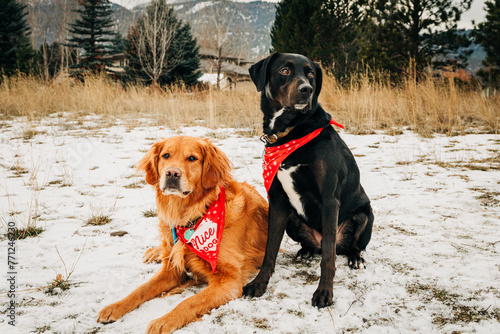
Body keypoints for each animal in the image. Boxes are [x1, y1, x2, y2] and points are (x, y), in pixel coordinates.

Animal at [240, 52, 374, 308]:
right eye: (284, 71)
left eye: (311, 74)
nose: (307, 90)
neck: (291, 130)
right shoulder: (277, 200)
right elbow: (270, 250)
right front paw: (259, 284)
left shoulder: (330, 200)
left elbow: (329, 258)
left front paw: (324, 293)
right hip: (292, 219)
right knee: (315, 247)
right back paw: (306, 251)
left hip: (365, 215)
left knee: (344, 247)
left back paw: (354, 257)